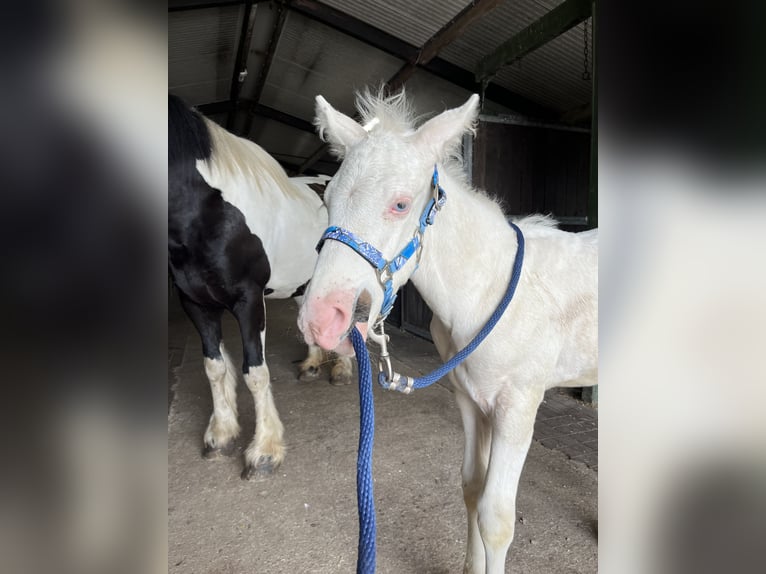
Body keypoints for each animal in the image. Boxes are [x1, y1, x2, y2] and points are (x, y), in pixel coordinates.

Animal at [168, 95, 354, 482]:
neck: (210, 214)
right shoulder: (194, 302)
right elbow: (214, 368)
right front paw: (221, 435)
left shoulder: (249, 301)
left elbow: (254, 372)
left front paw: (264, 452)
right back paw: (312, 365)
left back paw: (342, 370)